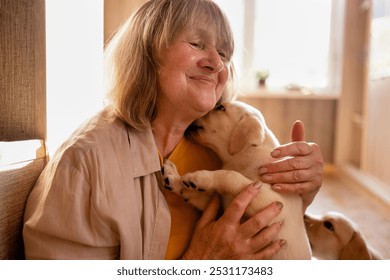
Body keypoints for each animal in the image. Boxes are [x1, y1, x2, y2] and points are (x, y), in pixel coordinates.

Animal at [163, 101, 312, 260]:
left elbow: (232, 176)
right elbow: (200, 195)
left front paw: (201, 177)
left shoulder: (277, 205)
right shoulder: (224, 208)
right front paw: (176, 179)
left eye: (220, 108)